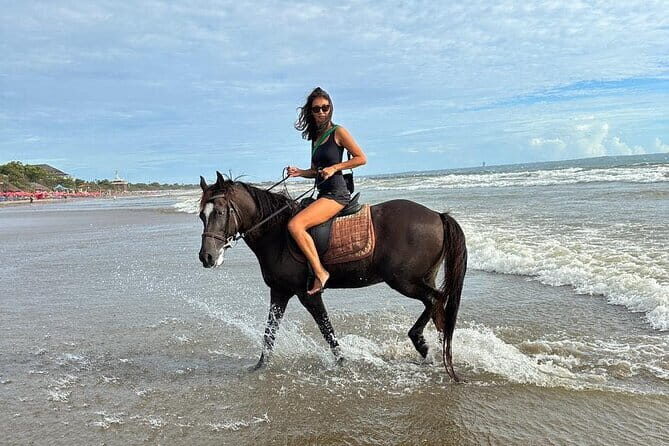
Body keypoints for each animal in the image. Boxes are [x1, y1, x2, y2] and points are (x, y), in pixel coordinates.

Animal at [198, 171, 467, 381]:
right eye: (202, 215)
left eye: (220, 212)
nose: (206, 257)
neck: (277, 234)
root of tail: (437, 215)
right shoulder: (280, 292)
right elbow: (270, 333)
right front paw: (259, 367)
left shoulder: (308, 294)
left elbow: (326, 329)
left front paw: (342, 362)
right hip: (420, 278)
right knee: (437, 308)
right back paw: (435, 350)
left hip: (404, 281)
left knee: (435, 300)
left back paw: (423, 344)